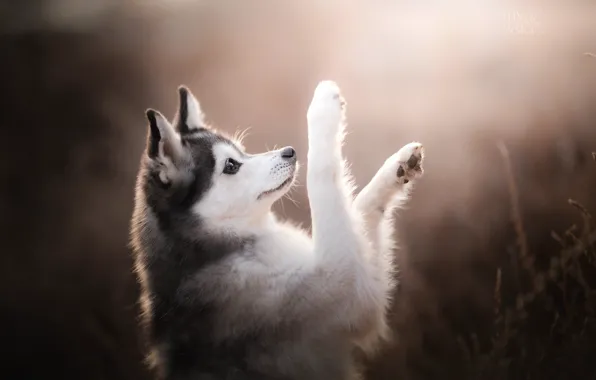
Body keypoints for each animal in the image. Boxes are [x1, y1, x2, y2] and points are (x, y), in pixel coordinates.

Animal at [130, 81, 424, 380]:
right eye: (231, 165)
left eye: (241, 151)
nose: (289, 152)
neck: (212, 252)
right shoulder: (342, 290)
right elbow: (322, 177)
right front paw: (322, 105)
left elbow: (361, 210)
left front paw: (397, 168)